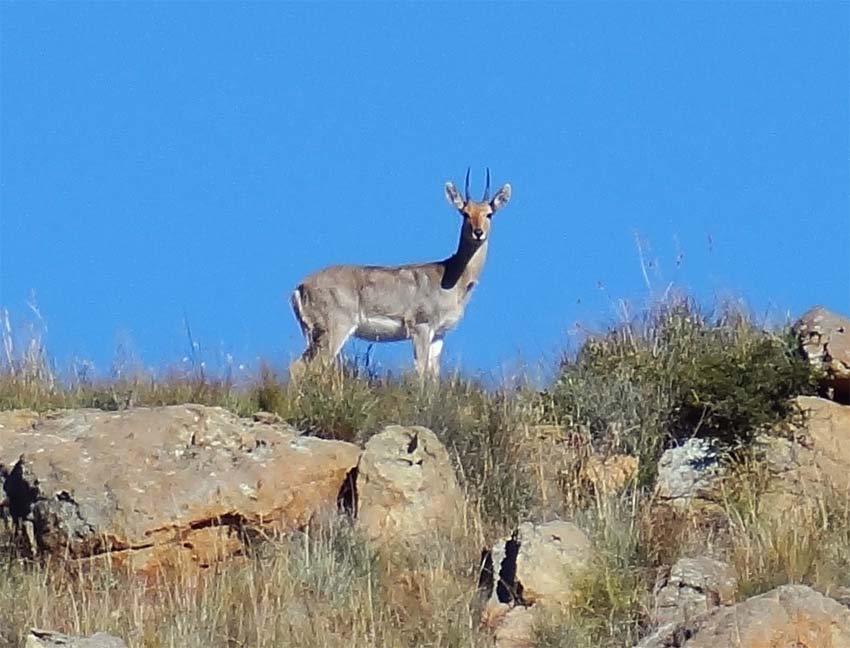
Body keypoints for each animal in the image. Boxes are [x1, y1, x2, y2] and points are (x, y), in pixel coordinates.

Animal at [290, 170, 510, 378]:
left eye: (489, 213)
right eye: (464, 213)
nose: (478, 232)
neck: (451, 278)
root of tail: (299, 288)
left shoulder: (439, 334)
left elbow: (434, 376)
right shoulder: (421, 325)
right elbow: (421, 372)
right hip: (334, 327)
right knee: (304, 366)